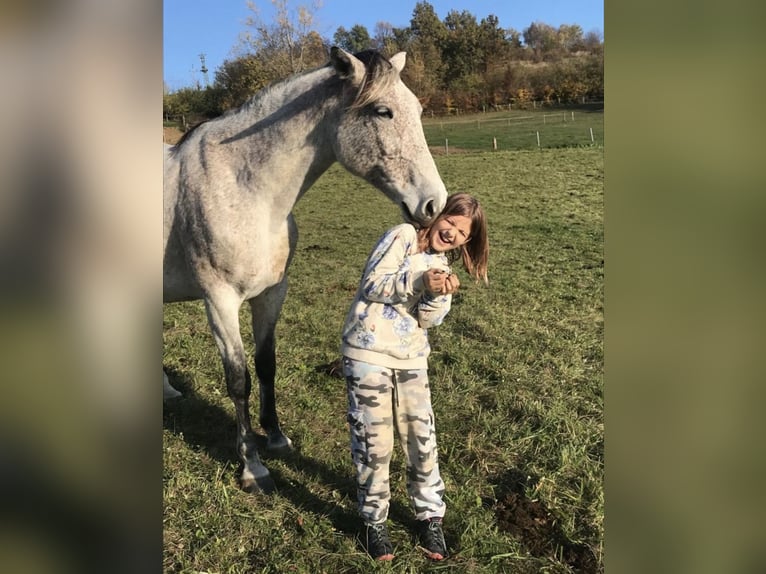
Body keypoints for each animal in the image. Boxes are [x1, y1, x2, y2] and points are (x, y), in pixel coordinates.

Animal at [163, 47, 448, 493]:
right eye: (382, 111)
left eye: (417, 109)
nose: (434, 203)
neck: (244, 190)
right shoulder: (219, 301)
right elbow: (239, 379)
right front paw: (253, 467)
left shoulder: (271, 294)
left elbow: (266, 364)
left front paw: (277, 438)